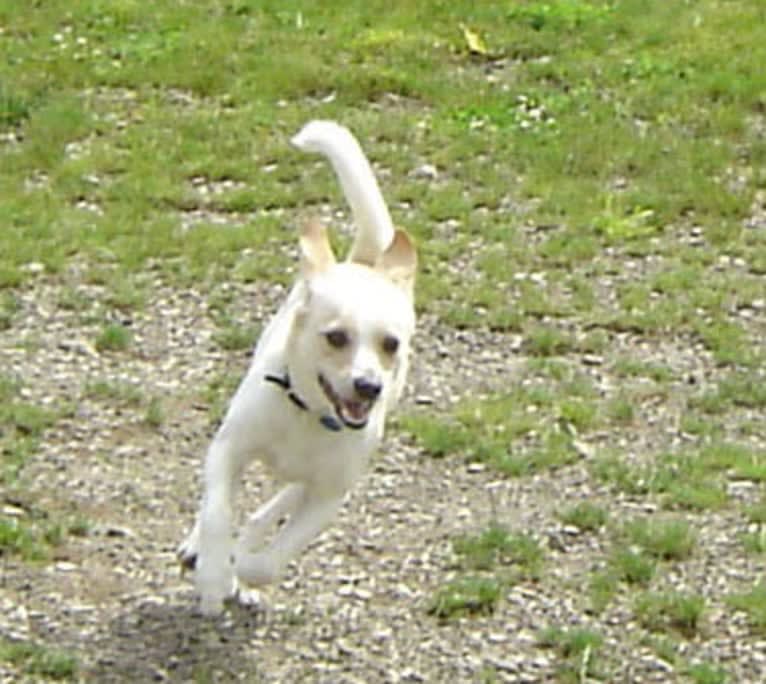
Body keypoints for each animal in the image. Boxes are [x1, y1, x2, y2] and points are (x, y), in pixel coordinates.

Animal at [178, 119, 420, 616]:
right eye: (336, 337)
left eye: (391, 344)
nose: (368, 387)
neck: (309, 414)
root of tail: (363, 261)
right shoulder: (229, 449)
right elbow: (216, 512)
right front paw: (212, 573)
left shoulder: (330, 495)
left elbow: (269, 559)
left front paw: (240, 569)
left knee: (272, 507)